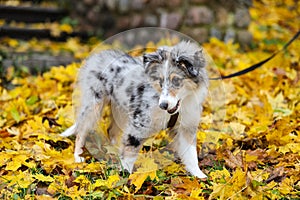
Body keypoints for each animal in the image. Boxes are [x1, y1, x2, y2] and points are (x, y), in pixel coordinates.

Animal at [61, 40, 209, 178]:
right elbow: (130, 150)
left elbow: (191, 154)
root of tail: (98, 55)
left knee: (111, 131)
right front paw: (125, 174)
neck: (180, 105)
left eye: (176, 80)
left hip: (120, 110)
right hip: (94, 104)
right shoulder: (139, 123)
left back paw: (114, 151)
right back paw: (78, 157)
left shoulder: (186, 127)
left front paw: (199, 176)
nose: (163, 105)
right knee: (81, 131)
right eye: (160, 82)